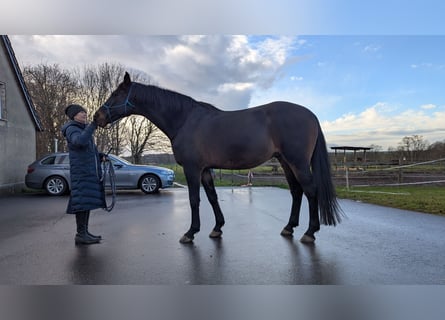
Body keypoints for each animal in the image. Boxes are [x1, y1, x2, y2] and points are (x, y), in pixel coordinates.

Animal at [94, 72, 344, 242]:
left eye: (116, 94)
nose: (98, 117)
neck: (185, 120)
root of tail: (310, 115)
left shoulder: (192, 169)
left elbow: (195, 199)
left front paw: (190, 232)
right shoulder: (205, 169)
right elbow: (212, 197)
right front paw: (217, 228)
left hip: (297, 162)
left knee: (310, 191)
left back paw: (310, 232)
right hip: (285, 162)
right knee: (296, 191)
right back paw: (289, 227)